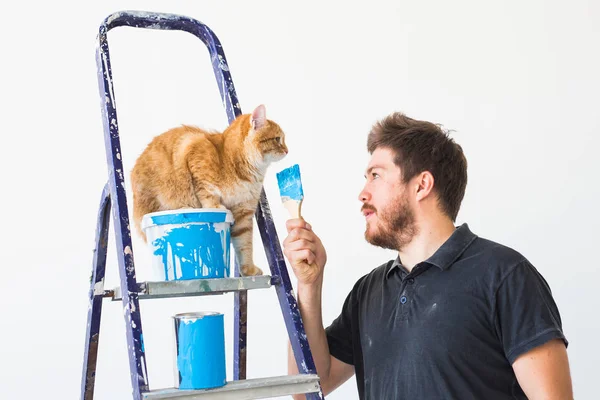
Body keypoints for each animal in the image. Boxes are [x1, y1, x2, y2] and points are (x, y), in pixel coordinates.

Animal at [131, 104, 288, 276]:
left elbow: (245, 245)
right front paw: (215, 206)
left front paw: (249, 269)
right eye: (277, 139)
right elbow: (207, 192)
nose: (287, 150)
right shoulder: (194, 152)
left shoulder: (243, 213)